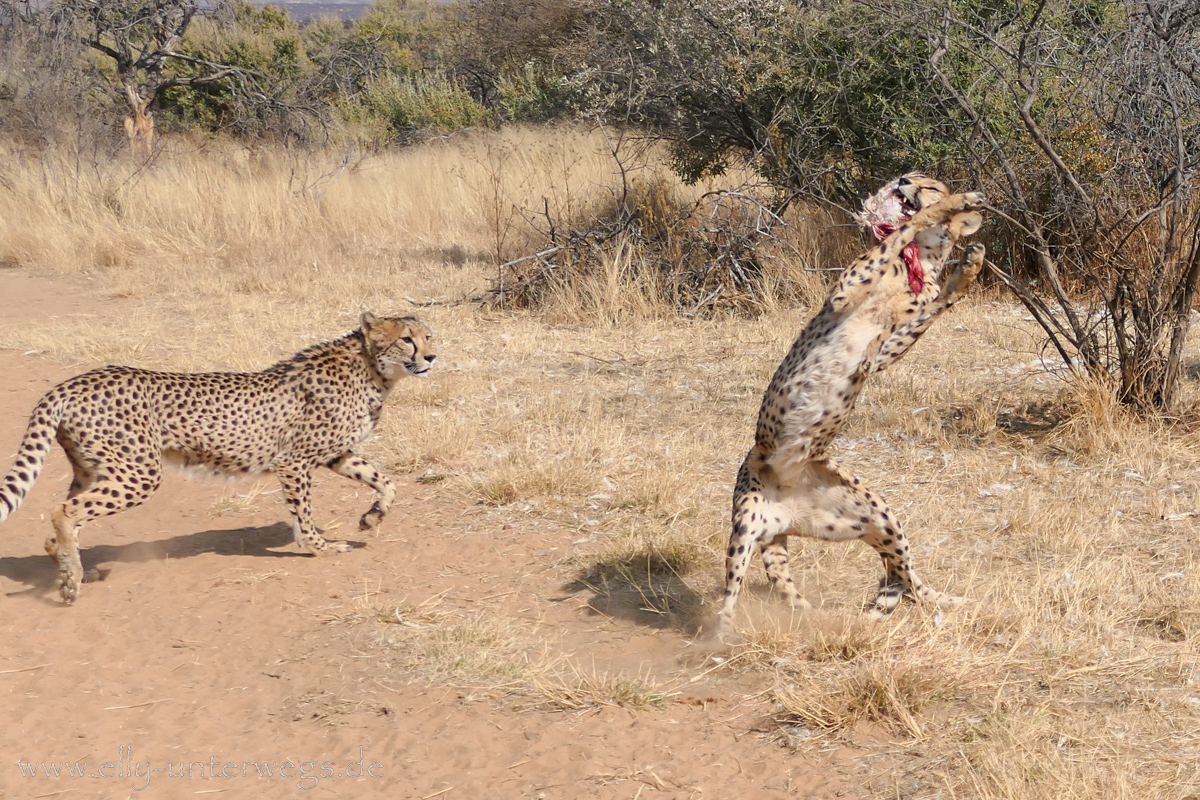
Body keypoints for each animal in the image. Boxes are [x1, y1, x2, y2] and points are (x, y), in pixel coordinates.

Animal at [0, 309, 439, 604]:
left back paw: (71, 568)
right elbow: (304, 511)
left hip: (96, 470)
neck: (372, 368)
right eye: (407, 339)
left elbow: (385, 481)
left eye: (429, 336)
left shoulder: (337, 454)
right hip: (138, 473)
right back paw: (71, 582)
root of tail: (71, 382)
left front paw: (372, 517)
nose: (432, 357)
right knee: (62, 512)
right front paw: (319, 546)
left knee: (63, 521)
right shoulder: (294, 461)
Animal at [715, 176, 988, 638]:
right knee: (730, 597)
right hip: (747, 525)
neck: (917, 264)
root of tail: (786, 511)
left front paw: (969, 264)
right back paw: (718, 637)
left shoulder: (881, 354)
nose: (903, 182)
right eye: (913, 174)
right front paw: (955, 205)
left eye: (927, 182)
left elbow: (933, 304)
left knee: (905, 577)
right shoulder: (845, 293)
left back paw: (931, 601)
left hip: (879, 517)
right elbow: (904, 231)